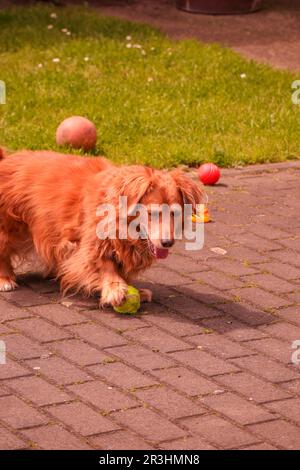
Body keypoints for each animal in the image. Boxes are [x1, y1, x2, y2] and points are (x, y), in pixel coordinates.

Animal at [0, 149, 204, 306]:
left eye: (175, 213)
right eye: (152, 213)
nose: (167, 243)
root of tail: (6, 159)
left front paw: (134, 290)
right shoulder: (90, 244)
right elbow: (104, 264)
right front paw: (115, 288)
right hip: (10, 227)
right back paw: (5, 279)